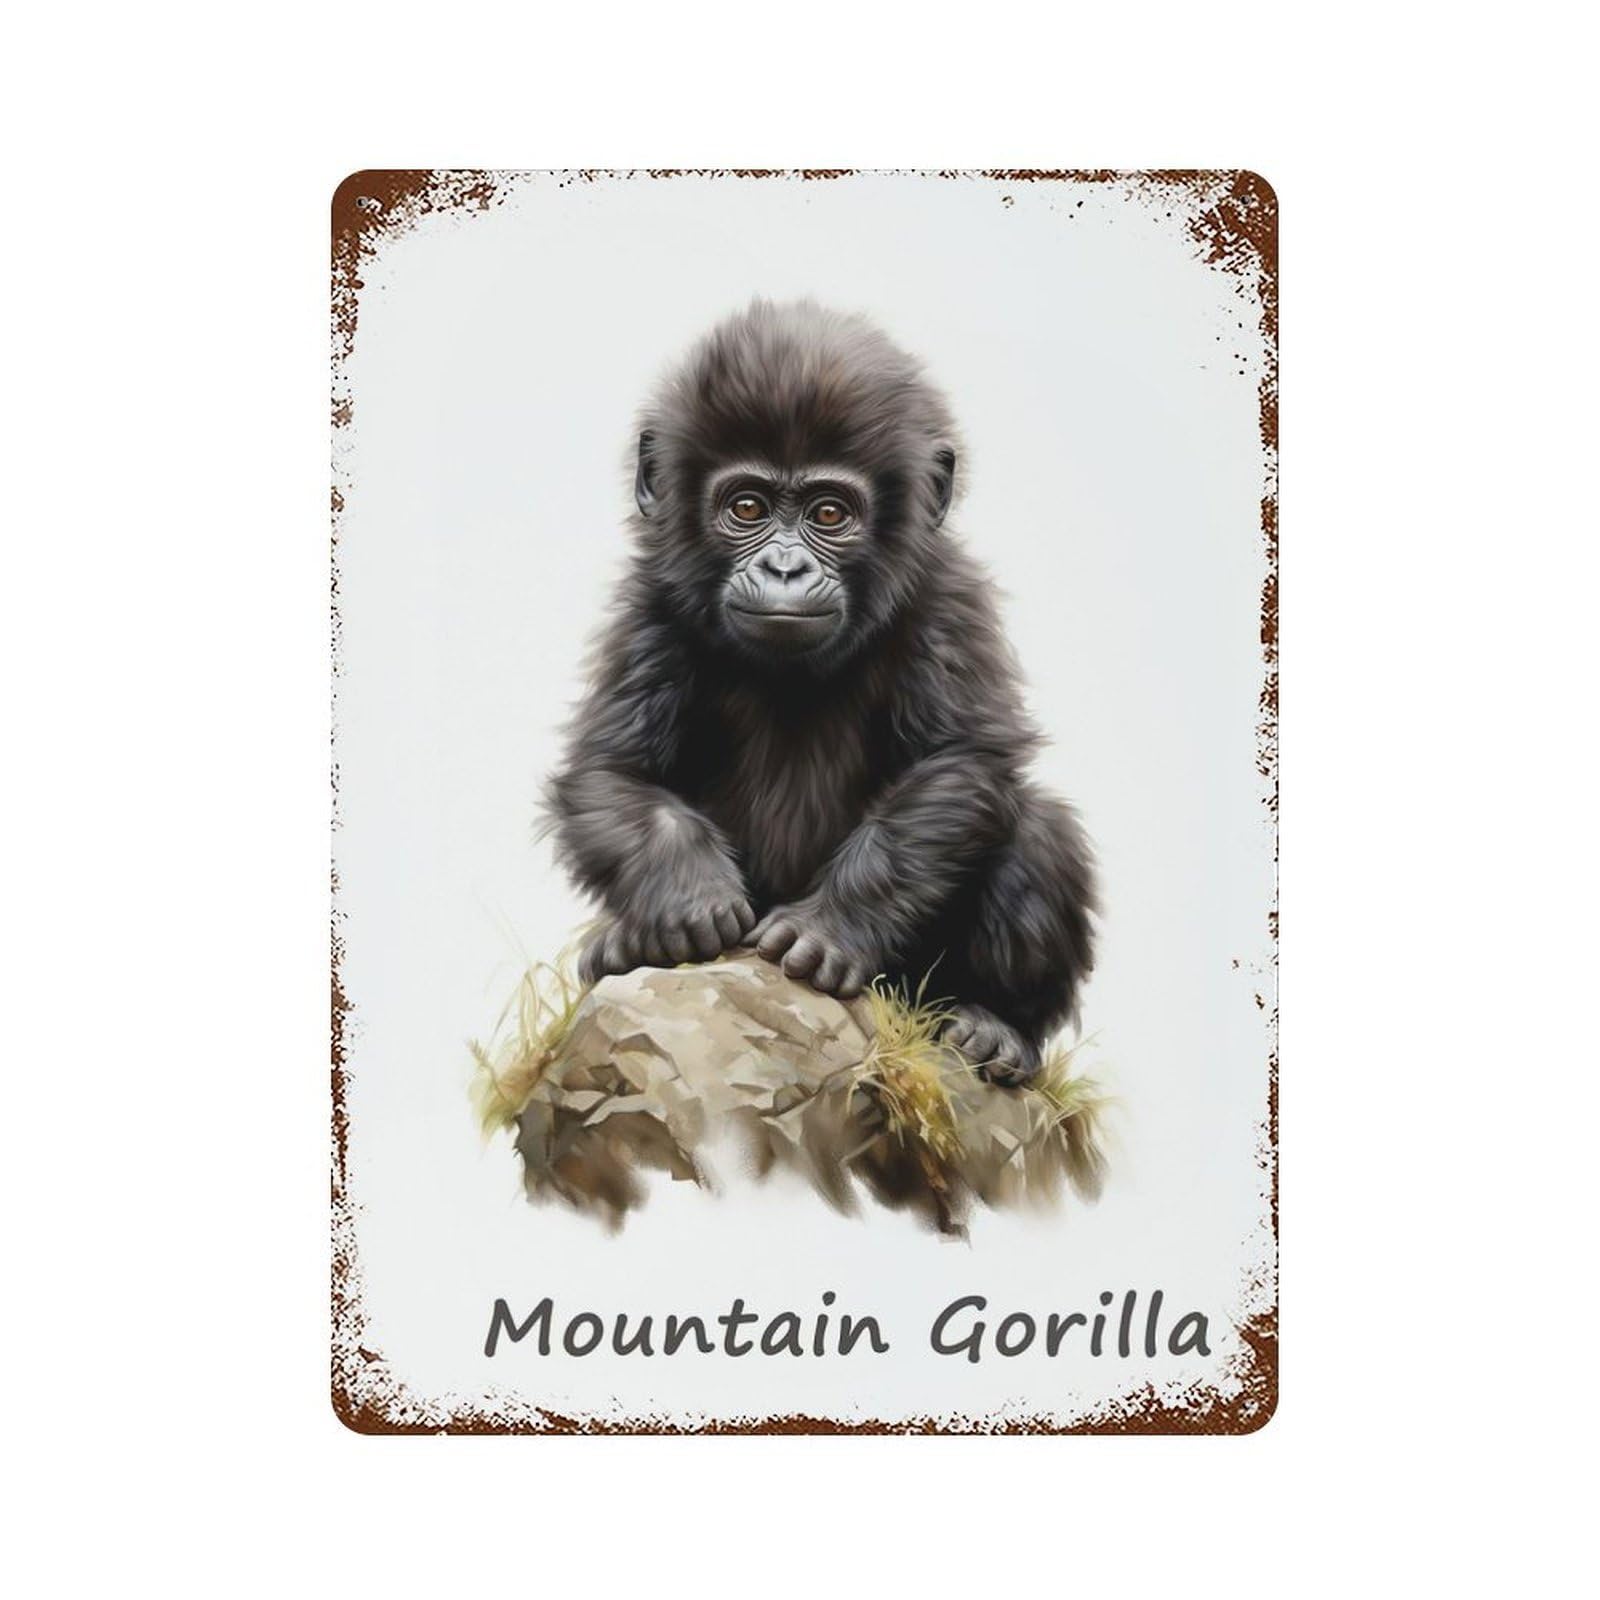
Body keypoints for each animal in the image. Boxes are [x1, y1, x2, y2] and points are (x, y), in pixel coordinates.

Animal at [545, 300, 1094, 1085]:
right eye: (747, 507)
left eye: (829, 514)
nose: (784, 568)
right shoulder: (650, 605)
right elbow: (614, 771)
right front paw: (688, 900)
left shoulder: (948, 597)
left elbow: (960, 763)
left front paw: (828, 928)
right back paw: (625, 946)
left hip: (910, 986)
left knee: (1040, 826)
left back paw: (999, 1025)